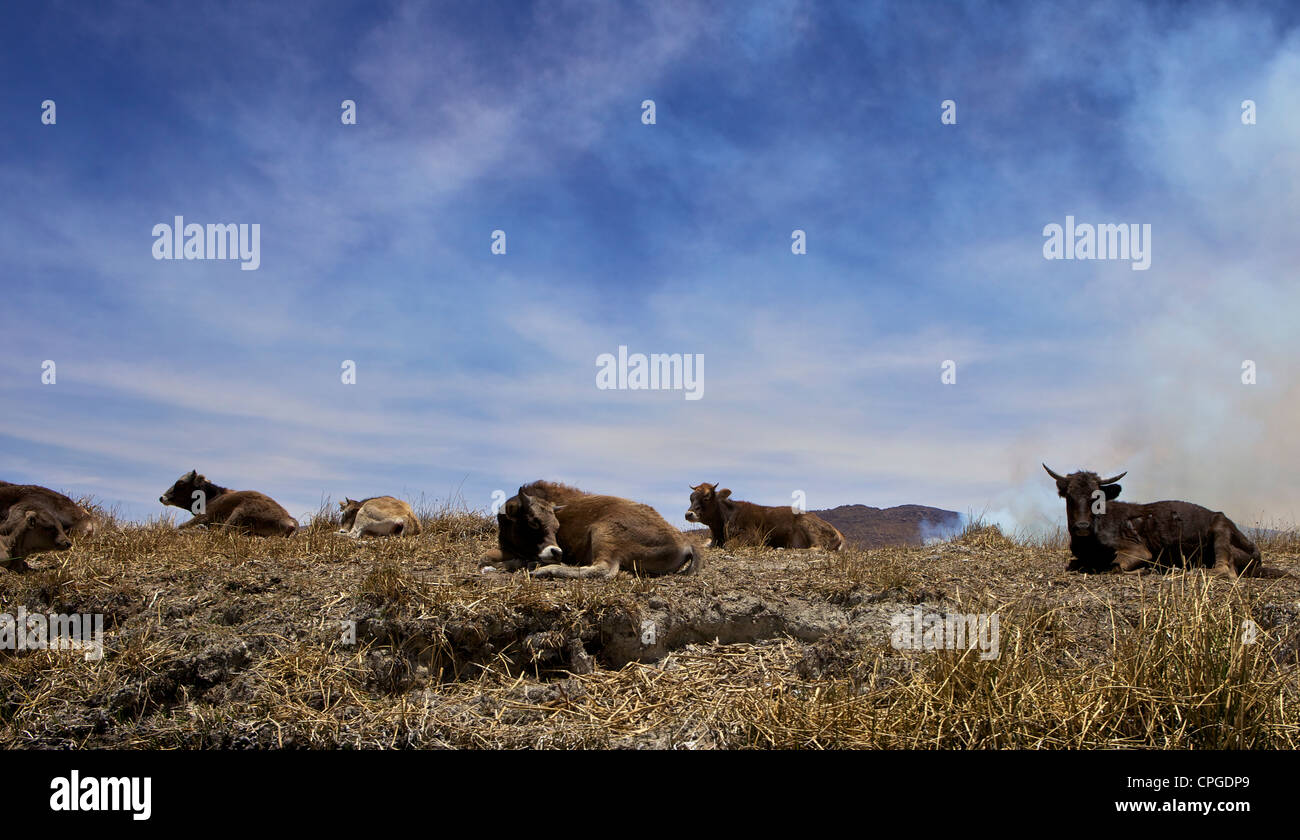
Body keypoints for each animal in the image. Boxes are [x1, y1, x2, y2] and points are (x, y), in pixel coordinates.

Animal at [158, 470, 297, 535]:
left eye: (180, 484)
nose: (162, 497)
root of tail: (290, 521)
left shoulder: (205, 516)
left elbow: (180, 526)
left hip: (240, 512)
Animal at [480, 483, 702, 582]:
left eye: (557, 527)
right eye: (533, 522)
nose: (556, 552)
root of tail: (685, 543)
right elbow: (486, 557)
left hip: (603, 532)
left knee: (604, 569)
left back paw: (545, 570)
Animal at [686, 481, 847, 553]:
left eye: (707, 497)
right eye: (691, 498)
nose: (689, 514)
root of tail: (839, 533)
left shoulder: (753, 536)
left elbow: (729, 544)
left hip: (809, 527)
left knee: (817, 548)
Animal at [1040, 468, 1263, 579]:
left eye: (1097, 497)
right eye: (1069, 496)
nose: (1082, 527)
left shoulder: (1137, 550)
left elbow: (1116, 566)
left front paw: (1146, 569)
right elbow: (1072, 565)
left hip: (1220, 529)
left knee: (1226, 571)